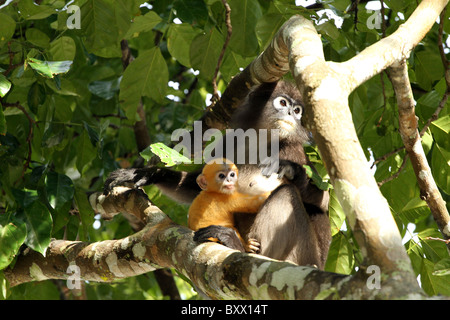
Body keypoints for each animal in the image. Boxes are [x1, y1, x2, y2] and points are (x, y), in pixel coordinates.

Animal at [104, 80, 330, 270]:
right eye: (283, 103)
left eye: (298, 110)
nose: (292, 114)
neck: (261, 142)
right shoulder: (231, 141)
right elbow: (199, 185)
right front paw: (147, 174)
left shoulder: (293, 150)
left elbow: (323, 202)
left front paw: (293, 171)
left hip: (301, 256)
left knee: (286, 194)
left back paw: (238, 247)